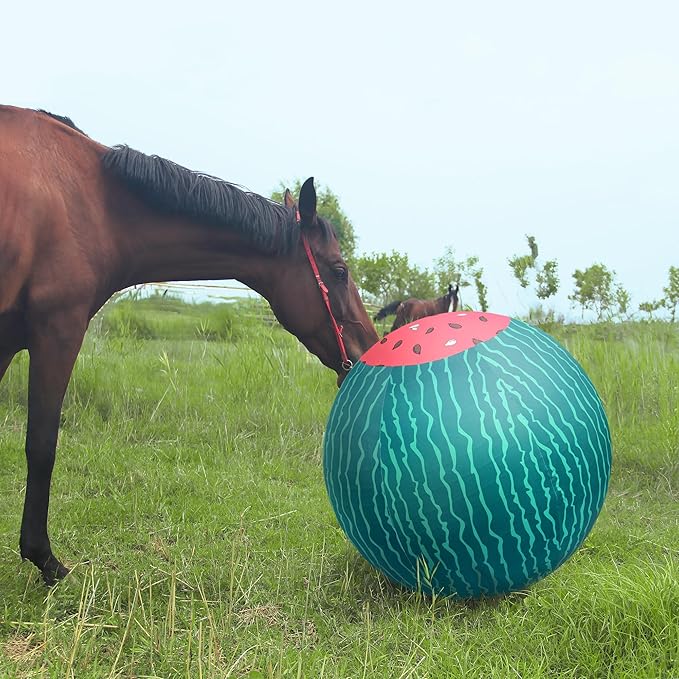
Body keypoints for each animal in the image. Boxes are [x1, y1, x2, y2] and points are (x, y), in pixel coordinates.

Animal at [0, 105, 379, 584]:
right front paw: (45, 559)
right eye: (340, 271)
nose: (370, 349)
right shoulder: (57, 331)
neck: (92, 205)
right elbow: (42, 444)